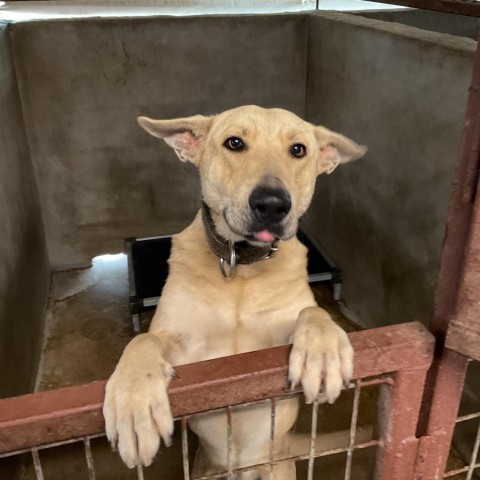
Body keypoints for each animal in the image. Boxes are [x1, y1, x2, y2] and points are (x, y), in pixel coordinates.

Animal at [105, 106, 366, 480]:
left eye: (298, 150)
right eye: (234, 143)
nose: (272, 205)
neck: (241, 266)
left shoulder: (271, 345)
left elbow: (314, 312)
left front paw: (323, 350)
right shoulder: (192, 358)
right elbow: (143, 340)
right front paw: (133, 400)